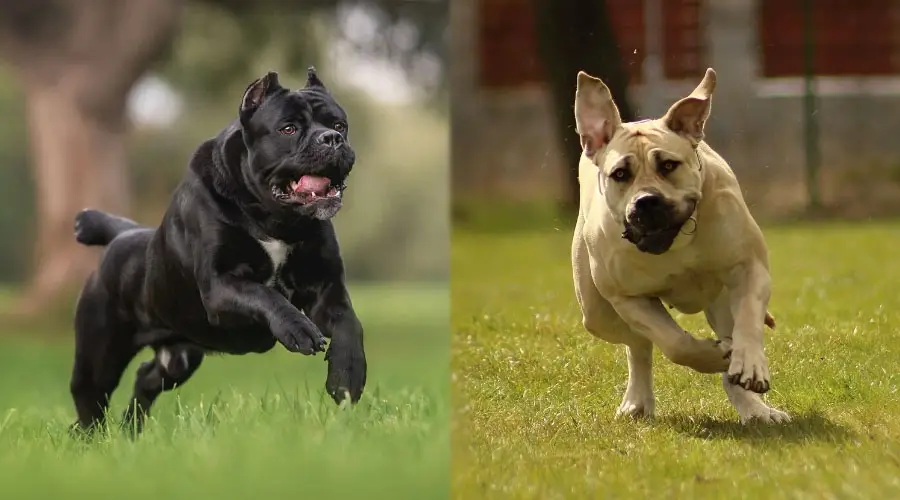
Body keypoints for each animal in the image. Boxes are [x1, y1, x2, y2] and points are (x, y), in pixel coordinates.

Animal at [69, 69, 366, 434]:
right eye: (288, 128)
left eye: (339, 125)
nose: (332, 139)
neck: (274, 220)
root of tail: (122, 235)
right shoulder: (221, 284)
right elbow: (265, 294)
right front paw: (298, 329)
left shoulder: (327, 288)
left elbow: (350, 325)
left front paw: (347, 376)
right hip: (99, 356)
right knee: (90, 398)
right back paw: (92, 436)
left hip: (180, 358)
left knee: (147, 378)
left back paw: (131, 431)